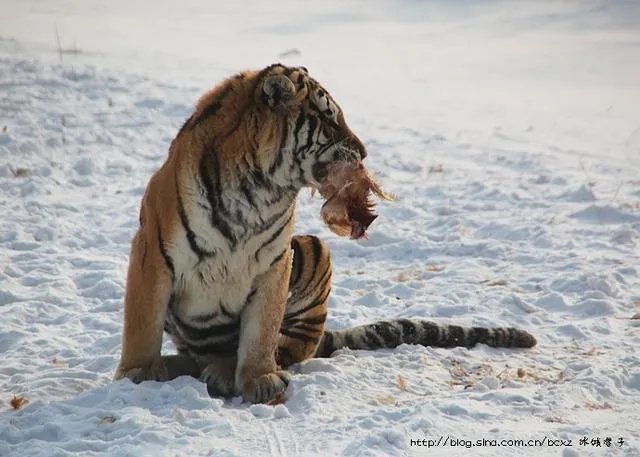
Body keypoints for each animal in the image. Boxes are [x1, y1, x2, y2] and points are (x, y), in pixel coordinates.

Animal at [114, 63, 536, 404]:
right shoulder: (152, 253)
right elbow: (141, 322)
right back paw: (179, 365)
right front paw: (137, 373)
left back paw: (221, 370)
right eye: (331, 121)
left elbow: (262, 332)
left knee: (291, 346)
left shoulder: (274, 262)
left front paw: (260, 379)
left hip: (314, 250)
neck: (258, 191)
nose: (364, 153)